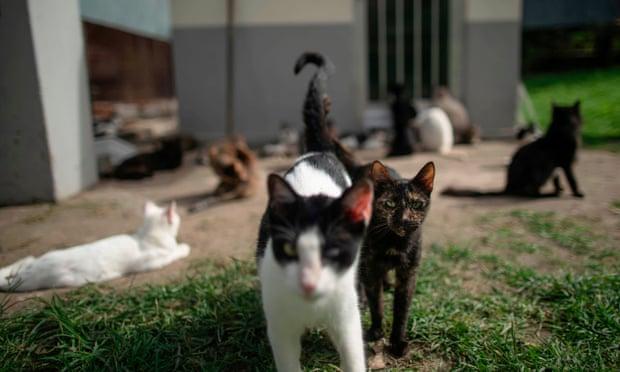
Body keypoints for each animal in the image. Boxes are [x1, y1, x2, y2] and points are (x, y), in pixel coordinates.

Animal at [0, 202, 189, 292]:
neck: (145, 235)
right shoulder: (150, 262)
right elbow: (173, 253)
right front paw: (184, 248)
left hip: (33, 260)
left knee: (25, 259)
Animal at [444, 100, 584, 199]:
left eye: (572, 121)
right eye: (564, 121)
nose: (569, 128)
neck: (560, 135)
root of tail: (507, 187)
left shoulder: (558, 167)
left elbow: (557, 180)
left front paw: (560, 189)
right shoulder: (566, 164)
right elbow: (573, 180)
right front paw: (577, 193)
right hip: (542, 168)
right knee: (531, 193)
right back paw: (547, 195)